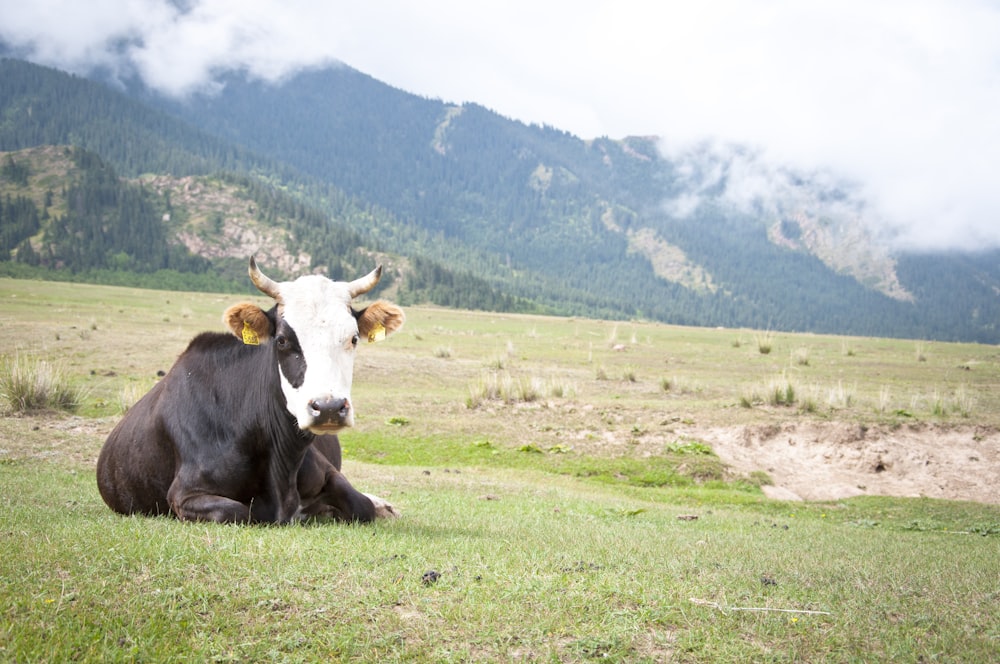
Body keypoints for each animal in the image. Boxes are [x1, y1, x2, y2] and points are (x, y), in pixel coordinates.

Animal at [95, 256, 404, 520]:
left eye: (353, 338)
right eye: (281, 340)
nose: (328, 408)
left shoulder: (328, 473)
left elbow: (361, 506)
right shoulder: (185, 493)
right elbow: (239, 512)